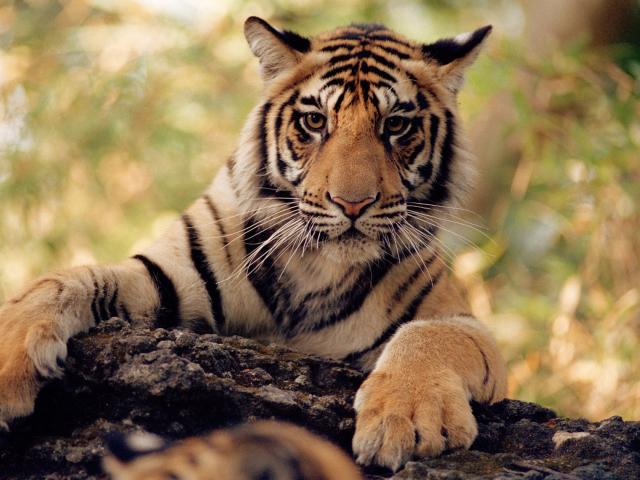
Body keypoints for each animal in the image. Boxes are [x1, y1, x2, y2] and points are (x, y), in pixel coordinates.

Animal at [0, 17, 507, 471]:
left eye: (397, 126)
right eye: (314, 121)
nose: (352, 203)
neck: (316, 265)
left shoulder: (462, 324)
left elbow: (428, 335)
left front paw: (407, 420)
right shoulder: (167, 273)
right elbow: (63, 280)